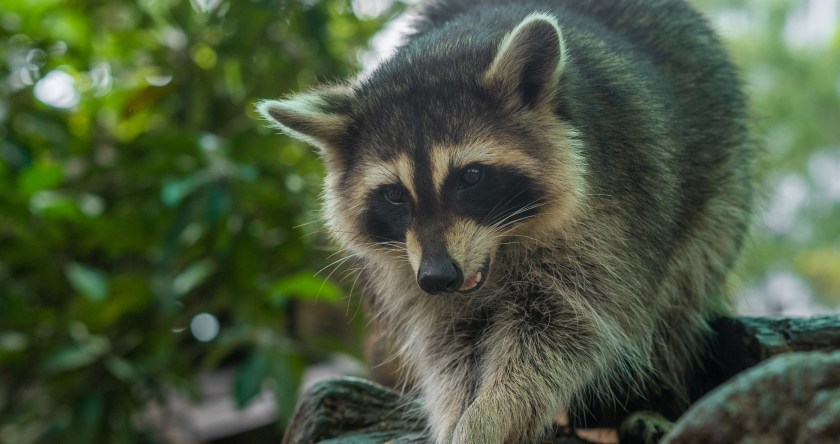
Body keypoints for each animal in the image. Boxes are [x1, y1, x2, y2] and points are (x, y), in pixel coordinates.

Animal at [258, 0, 754, 442]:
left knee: (677, 306)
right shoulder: (407, 269)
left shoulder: (611, 221)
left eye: (471, 177)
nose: (437, 277)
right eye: (395, 195)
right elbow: (448, 347)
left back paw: (657, 400)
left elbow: (563, 330)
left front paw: (487, 419)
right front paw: (456, 417)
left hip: (719, 195)